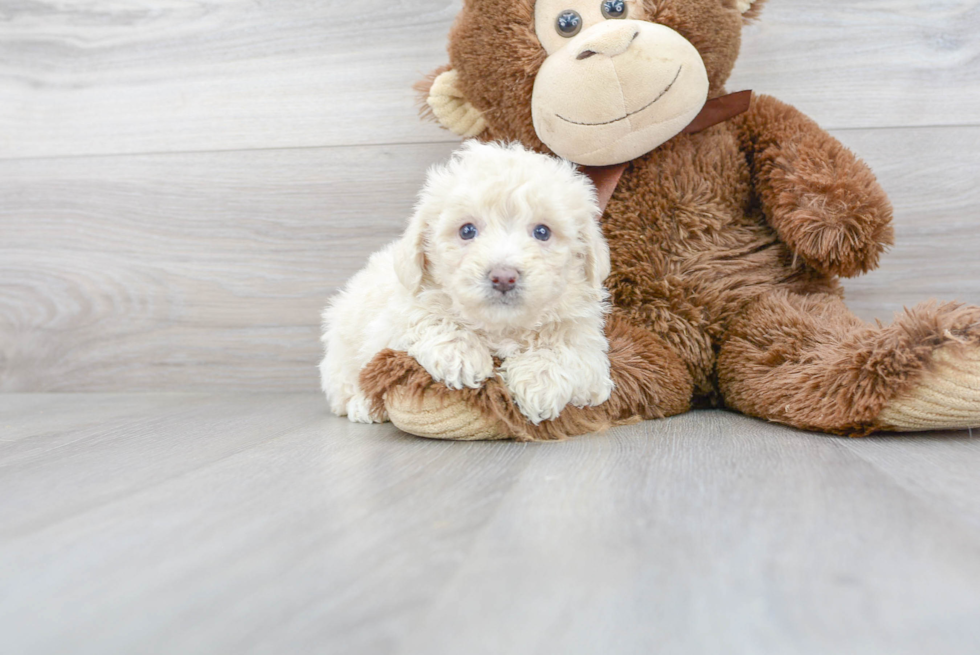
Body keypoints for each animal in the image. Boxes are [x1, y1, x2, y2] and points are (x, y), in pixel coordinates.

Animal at [322, 141, 612, 426]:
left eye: (542, 232)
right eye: (467, 231)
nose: (503, 276)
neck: (501, 328)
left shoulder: (589, 349)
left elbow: (567, 349)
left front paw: (540, 381)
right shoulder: (397, 314)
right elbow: (426, 317)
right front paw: (460, 354)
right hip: (341, 349)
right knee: (344, 386)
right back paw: (363, 406)